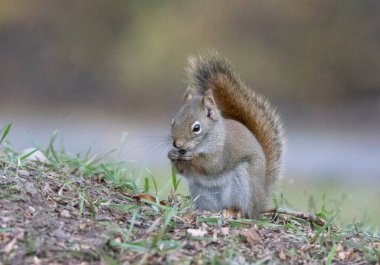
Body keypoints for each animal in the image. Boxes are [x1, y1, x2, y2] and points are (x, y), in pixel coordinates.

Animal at [168, 50, 284, 218]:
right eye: (173, 121)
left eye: (196, 128)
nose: (177, 144)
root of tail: (260, 204)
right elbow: (182, 171)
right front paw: (172, 155)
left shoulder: (224, 151)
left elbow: (214, 166)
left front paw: (192, 157)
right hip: (202, 192)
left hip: (242, 185)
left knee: (243, 210)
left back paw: (232, 211)